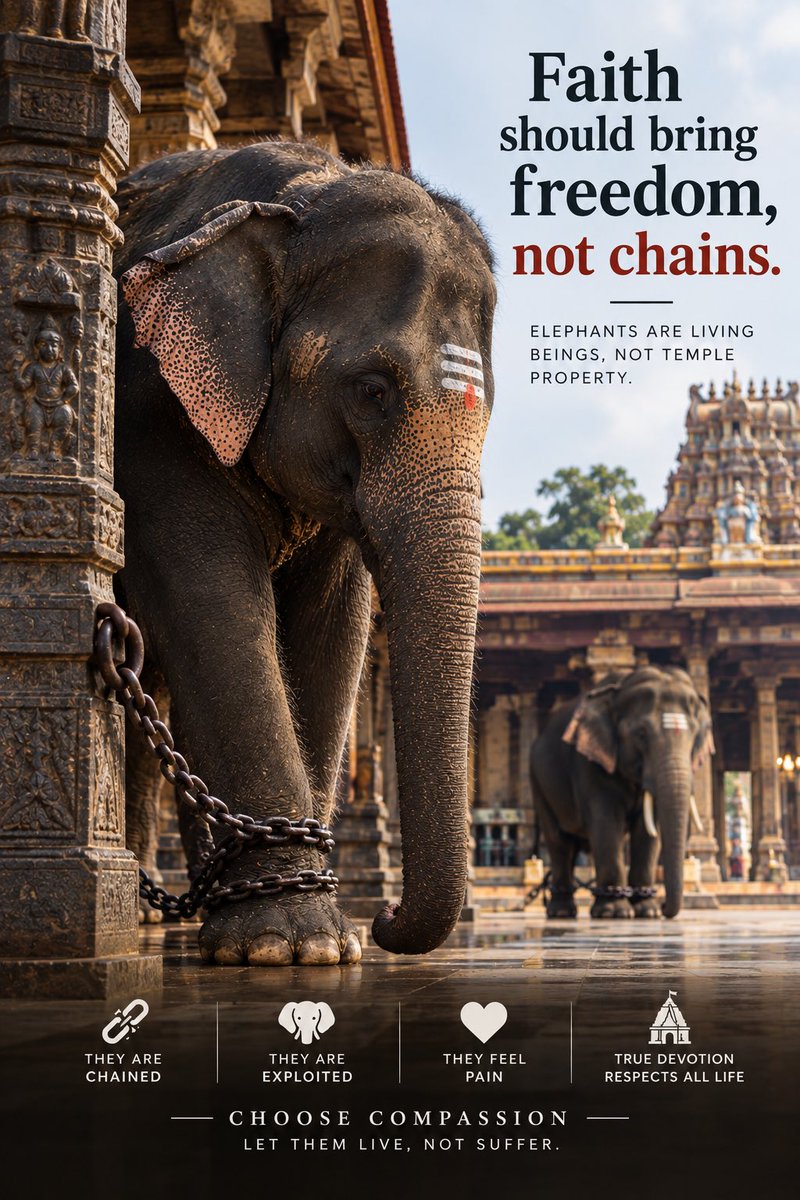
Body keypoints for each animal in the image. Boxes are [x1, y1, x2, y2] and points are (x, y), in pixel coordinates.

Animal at [113, 140, 496, 966]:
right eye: (373, 389)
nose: (386, 918)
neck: (303, 193)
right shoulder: (155, 412)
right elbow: (212, 599)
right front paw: (289, 947)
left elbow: (333, 631)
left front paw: (323, 941)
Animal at [529, 666, 714, 920]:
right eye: (641, 733)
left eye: (695, 736)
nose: (665, 906)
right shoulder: (590, 763)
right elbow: (606, 822)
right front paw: (614, 912)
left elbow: (649, 831)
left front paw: (647, 911)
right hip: (538, 782)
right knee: (559, 841)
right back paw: (561, 912)